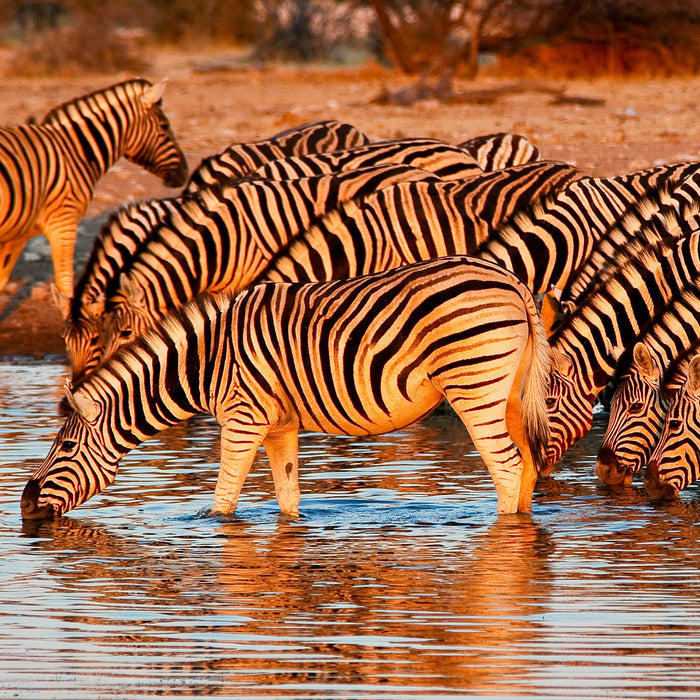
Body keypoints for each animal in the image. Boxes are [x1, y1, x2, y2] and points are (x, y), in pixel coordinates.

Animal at [0, 79, 189, 298]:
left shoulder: (19, 233)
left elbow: (2, 279)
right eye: (164, 126)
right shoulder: (63, 223)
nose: (185, 173)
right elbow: (66, 285)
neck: (75, 151)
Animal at [21, 256, 552, 520]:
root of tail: (512, 282)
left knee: (506, 467)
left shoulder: (242, 417)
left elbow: (224, 500)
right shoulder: (280, 426)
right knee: (527, 465)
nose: (23, 505)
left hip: (473, 385)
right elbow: (288, 497)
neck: (205, 364)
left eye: (65, 447)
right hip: (509, 392)